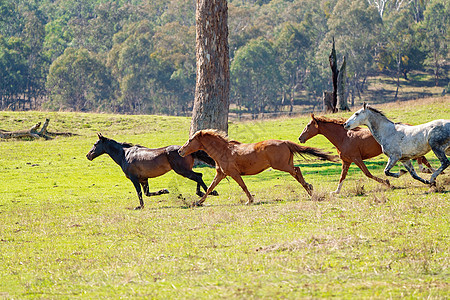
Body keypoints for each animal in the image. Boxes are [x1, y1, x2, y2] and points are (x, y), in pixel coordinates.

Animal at [86, 134, 218, 209]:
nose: (88, 155)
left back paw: (208, 193)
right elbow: (147, 193)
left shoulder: (134, 179)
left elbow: (139, 193)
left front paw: (140, 207)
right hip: (185, 170)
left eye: (95, 144)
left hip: (182, 171)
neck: (125, 154)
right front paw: (164, 191)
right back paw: (202, 194)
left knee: (198, 176)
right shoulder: (144, 179)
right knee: (199, 175)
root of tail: (183, 150)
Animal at [178, 129, 336, 206]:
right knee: (297, 171)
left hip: (282, 165)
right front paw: (198, 202)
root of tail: (285, 142)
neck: (223, 151)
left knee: (297, 171)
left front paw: (250, 200)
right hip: (286, 164)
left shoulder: (234, 173)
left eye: (190, 140)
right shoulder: (221, 174)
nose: (180, 151)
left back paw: (310, 189)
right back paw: (310, 189)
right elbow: (210, 188)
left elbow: (243, 186)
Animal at [300, 113, 438, 193]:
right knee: (423, 158)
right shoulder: (346, 161)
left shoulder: (356, 158)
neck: (344, 137)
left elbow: (368, 173)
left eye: (308, 125)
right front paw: (336, 191)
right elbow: (342, 176)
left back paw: (428, 171)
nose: (300, 138)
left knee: (422, 158)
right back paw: (431, 172)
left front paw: (388, 183)